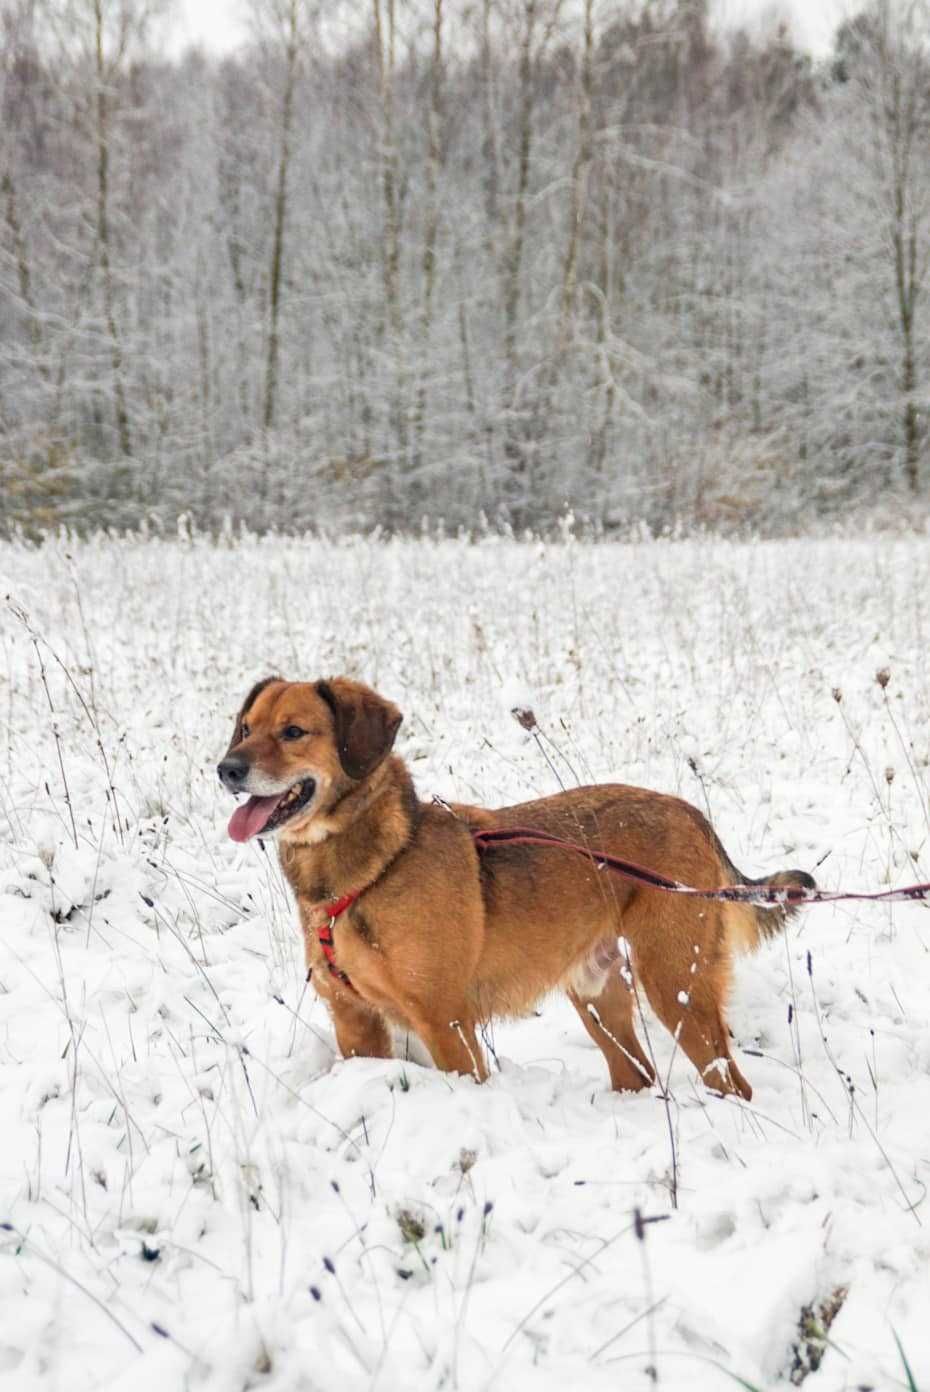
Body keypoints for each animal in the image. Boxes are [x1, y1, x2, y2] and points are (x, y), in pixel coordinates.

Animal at [219, 673, 813, 1096]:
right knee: (638, 1075)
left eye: (293, 732)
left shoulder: (446, 1023)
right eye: (246, 728)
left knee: (731, 1082)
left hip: (675, 985)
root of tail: (688, 811)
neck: (374, 863)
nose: (226, 769)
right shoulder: (355, 1023)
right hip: (598, 998)